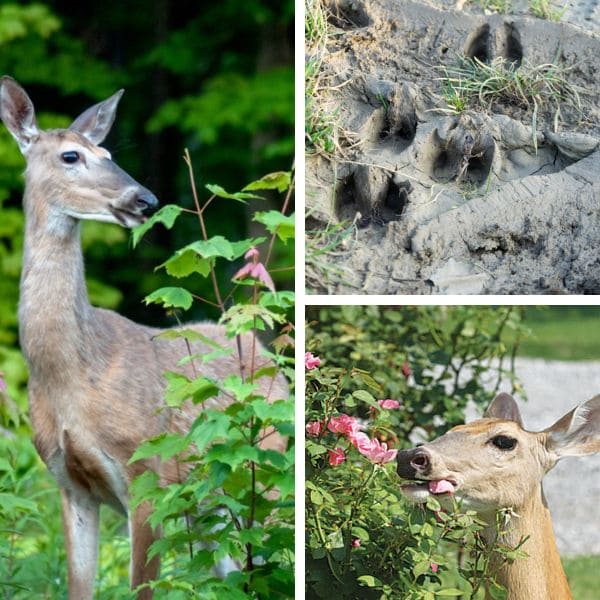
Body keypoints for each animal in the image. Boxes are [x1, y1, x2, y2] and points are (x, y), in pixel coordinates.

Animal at [0, 77, 288, 600]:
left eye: (109, 151)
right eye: (71, 155)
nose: (146, 201)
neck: (72, 375)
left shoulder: (148, 473)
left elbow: (141, 587)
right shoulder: (69, 485)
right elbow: (79, 588)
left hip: (269, 474)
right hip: (216, 506)